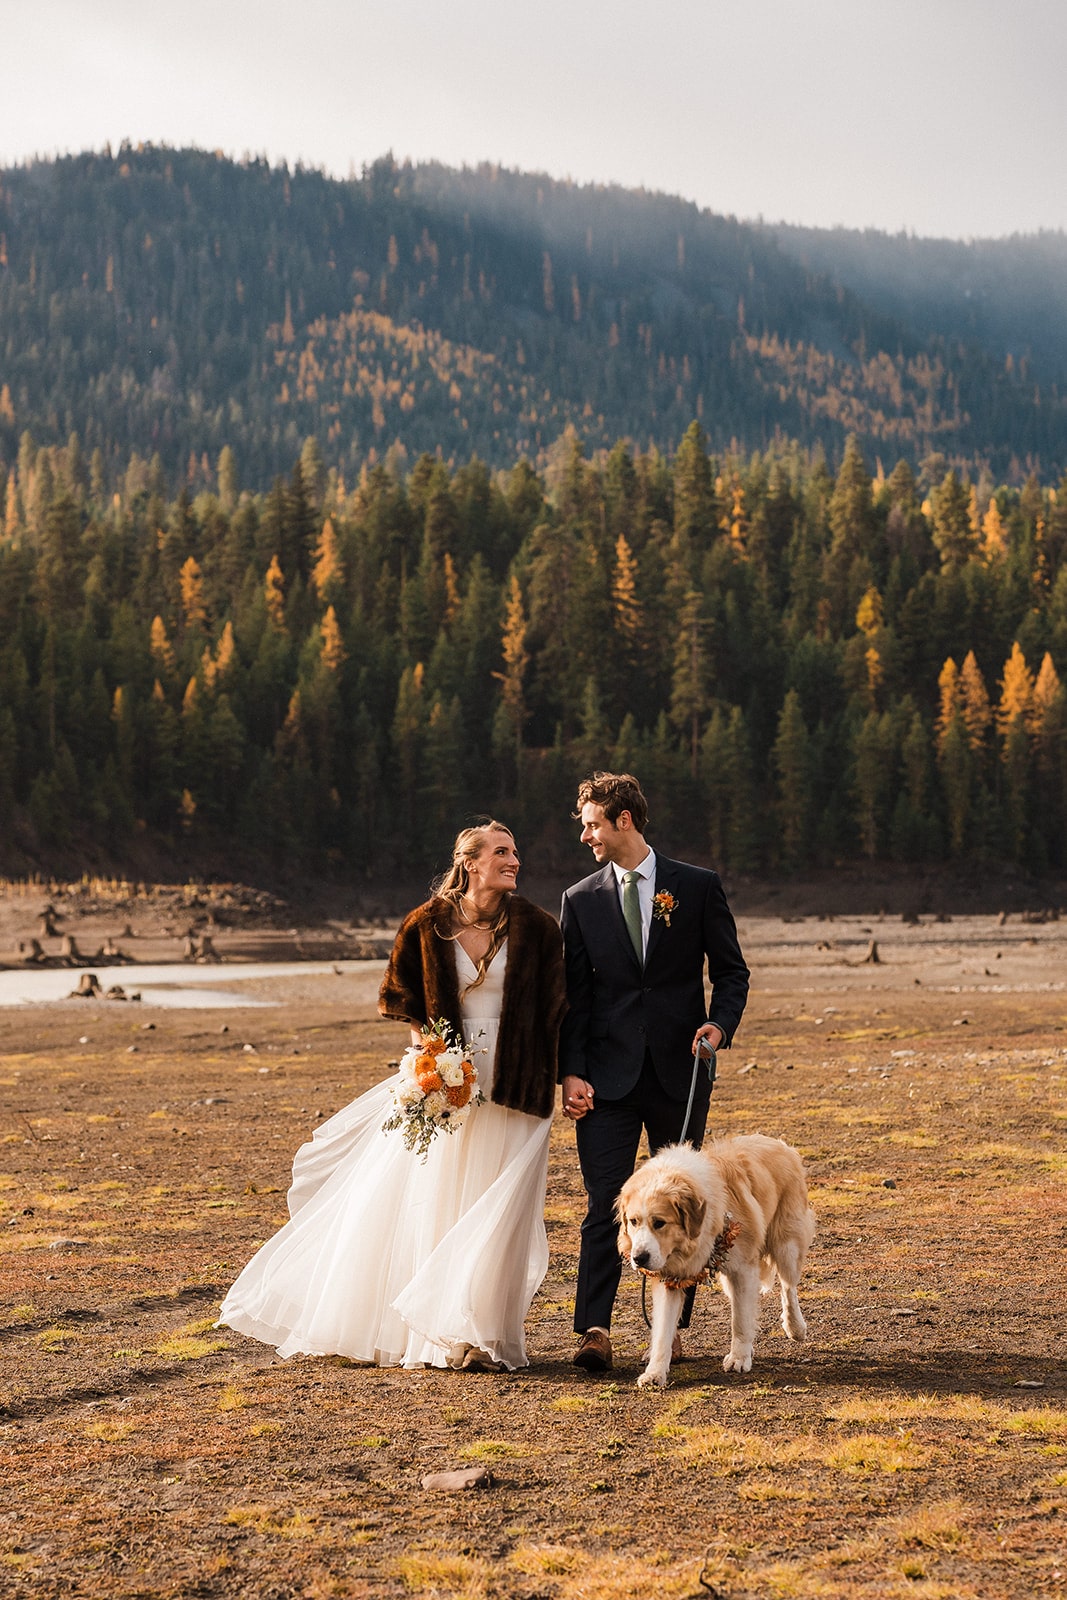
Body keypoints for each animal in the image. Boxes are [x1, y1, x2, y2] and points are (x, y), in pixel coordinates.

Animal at [614, 1139, 812, 1388]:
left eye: (659, 1223)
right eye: (633, 1221)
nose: (639, 1258)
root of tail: (780, 1144)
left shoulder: (743, 1271)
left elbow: (740, 1320)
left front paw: (739, 1358)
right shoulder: (671, 1278)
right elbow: (662, 1332)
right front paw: (655, 1372)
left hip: (787, 1246)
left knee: (788, 1287)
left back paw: (795, 1327)